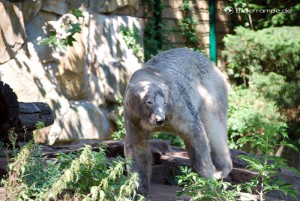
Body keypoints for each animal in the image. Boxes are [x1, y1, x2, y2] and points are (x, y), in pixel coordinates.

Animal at [123, 48, 233, 196]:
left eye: (164, 102)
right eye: (149, 102)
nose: (160, 120)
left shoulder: (176, 106)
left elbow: (194, 132)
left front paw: (204, 181)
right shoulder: (133, 117)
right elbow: (137, 146)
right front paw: (138, 189)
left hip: (211, 91)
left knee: (215, 126)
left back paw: (221, 170)